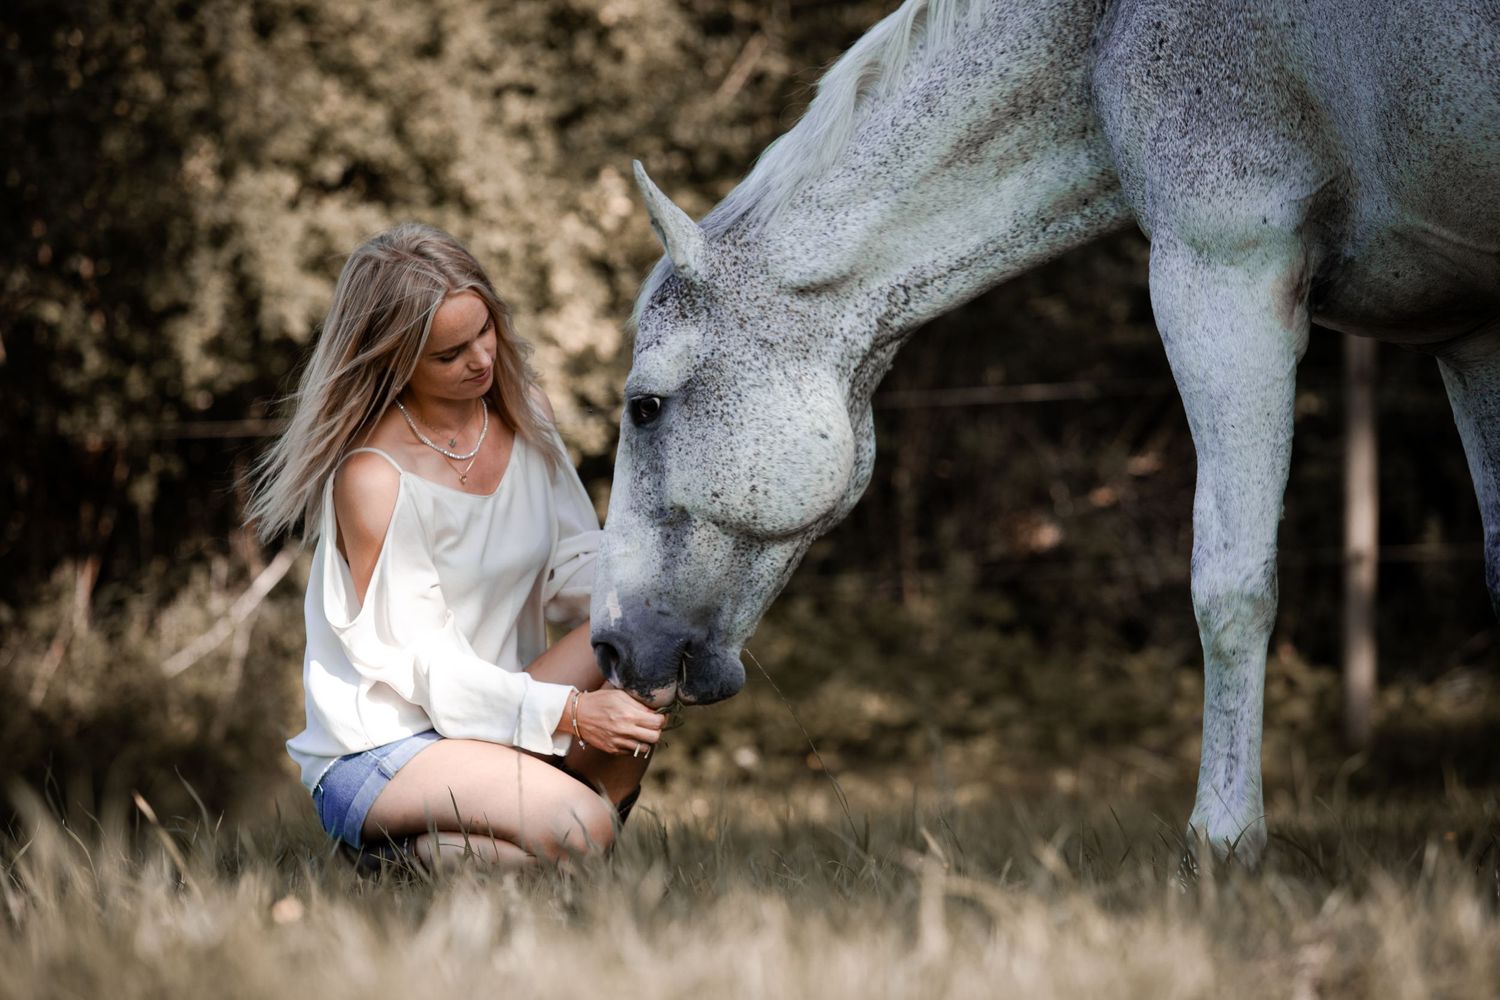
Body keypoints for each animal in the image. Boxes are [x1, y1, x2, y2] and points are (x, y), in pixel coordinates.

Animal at [589, 0, 1500, 865]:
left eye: (645, 406)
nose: (609, 649)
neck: (1104, 27)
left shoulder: (1226, 266)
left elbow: (1231, 588)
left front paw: (1222, 843)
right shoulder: (1470, 339)